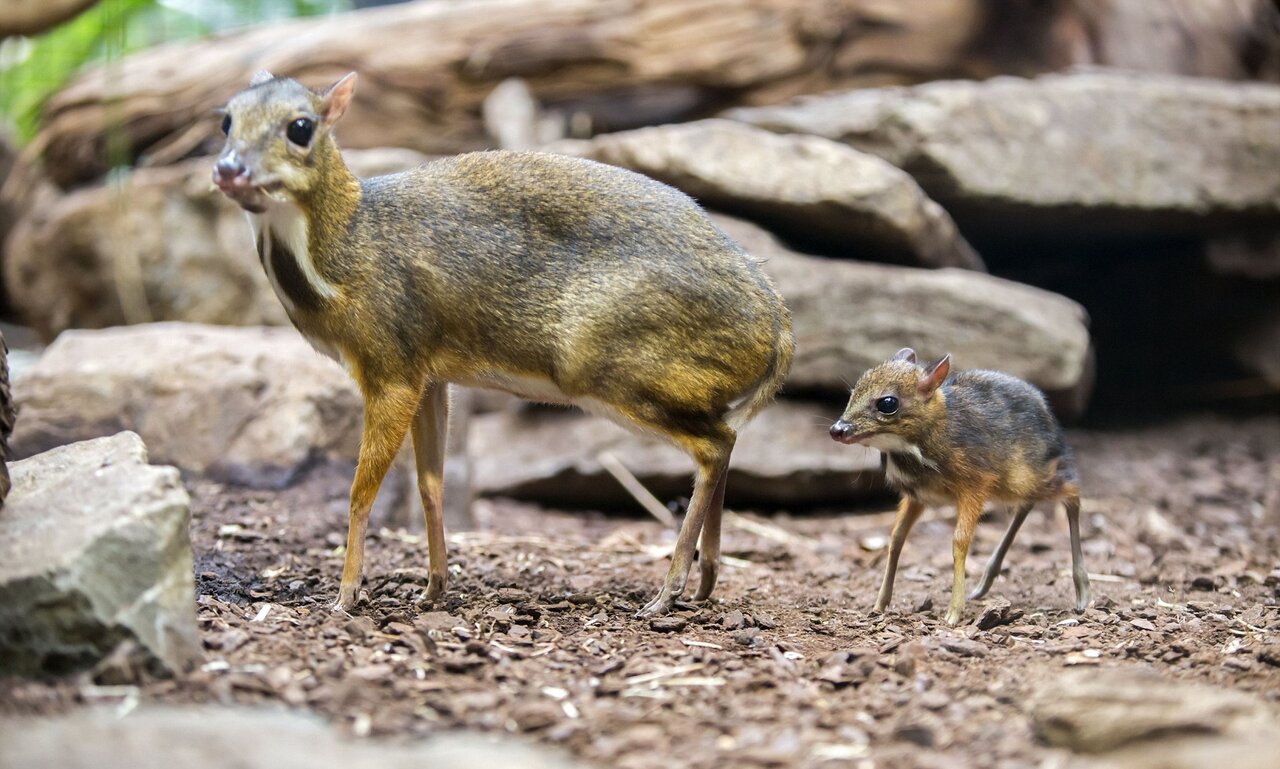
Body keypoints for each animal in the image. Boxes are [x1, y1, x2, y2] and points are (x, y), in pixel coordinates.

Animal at [209, 70, 788, 611]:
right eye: (226, 122)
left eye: (300, 127)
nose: (228, 170)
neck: (345, 253)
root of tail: (778, 324)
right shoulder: (429, 374)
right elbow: (431, 484)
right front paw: (433, 589)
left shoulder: (391, 367)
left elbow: (359, 492)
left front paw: (347, 595)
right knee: (726, 441)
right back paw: (706, 580)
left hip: (617, 371)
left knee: (713, 446)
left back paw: (668, 591)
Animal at [829, 348, 1090, 624]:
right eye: (853, 392)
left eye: (887, 403)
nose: (837, 429)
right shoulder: (917, 496)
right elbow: (897, 538)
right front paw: (879, 605)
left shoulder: (975, 484)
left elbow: (960, 541)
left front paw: (953, 614)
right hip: (1016, 484)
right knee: (1026, 505)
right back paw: (984, 584)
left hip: (1030, 477)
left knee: (1072, 493)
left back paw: (1082, 592)